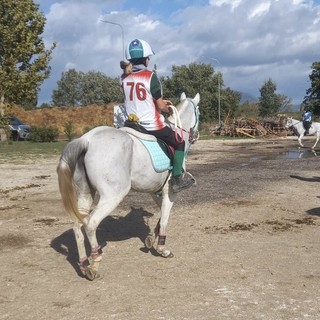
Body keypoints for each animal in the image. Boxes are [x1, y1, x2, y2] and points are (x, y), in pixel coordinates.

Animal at [56, 92, 199, 280]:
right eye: (199, 111)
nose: (196, 136)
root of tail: (86, 140)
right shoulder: (170, 191)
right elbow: (166, 217)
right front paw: (162, 249)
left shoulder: (154, 191)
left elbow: (161, 212)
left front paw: (151, 238)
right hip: (113, 195)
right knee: (91, 223)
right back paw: (95, 262)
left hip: (85, 194)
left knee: (77, 224)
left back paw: (85, 265)